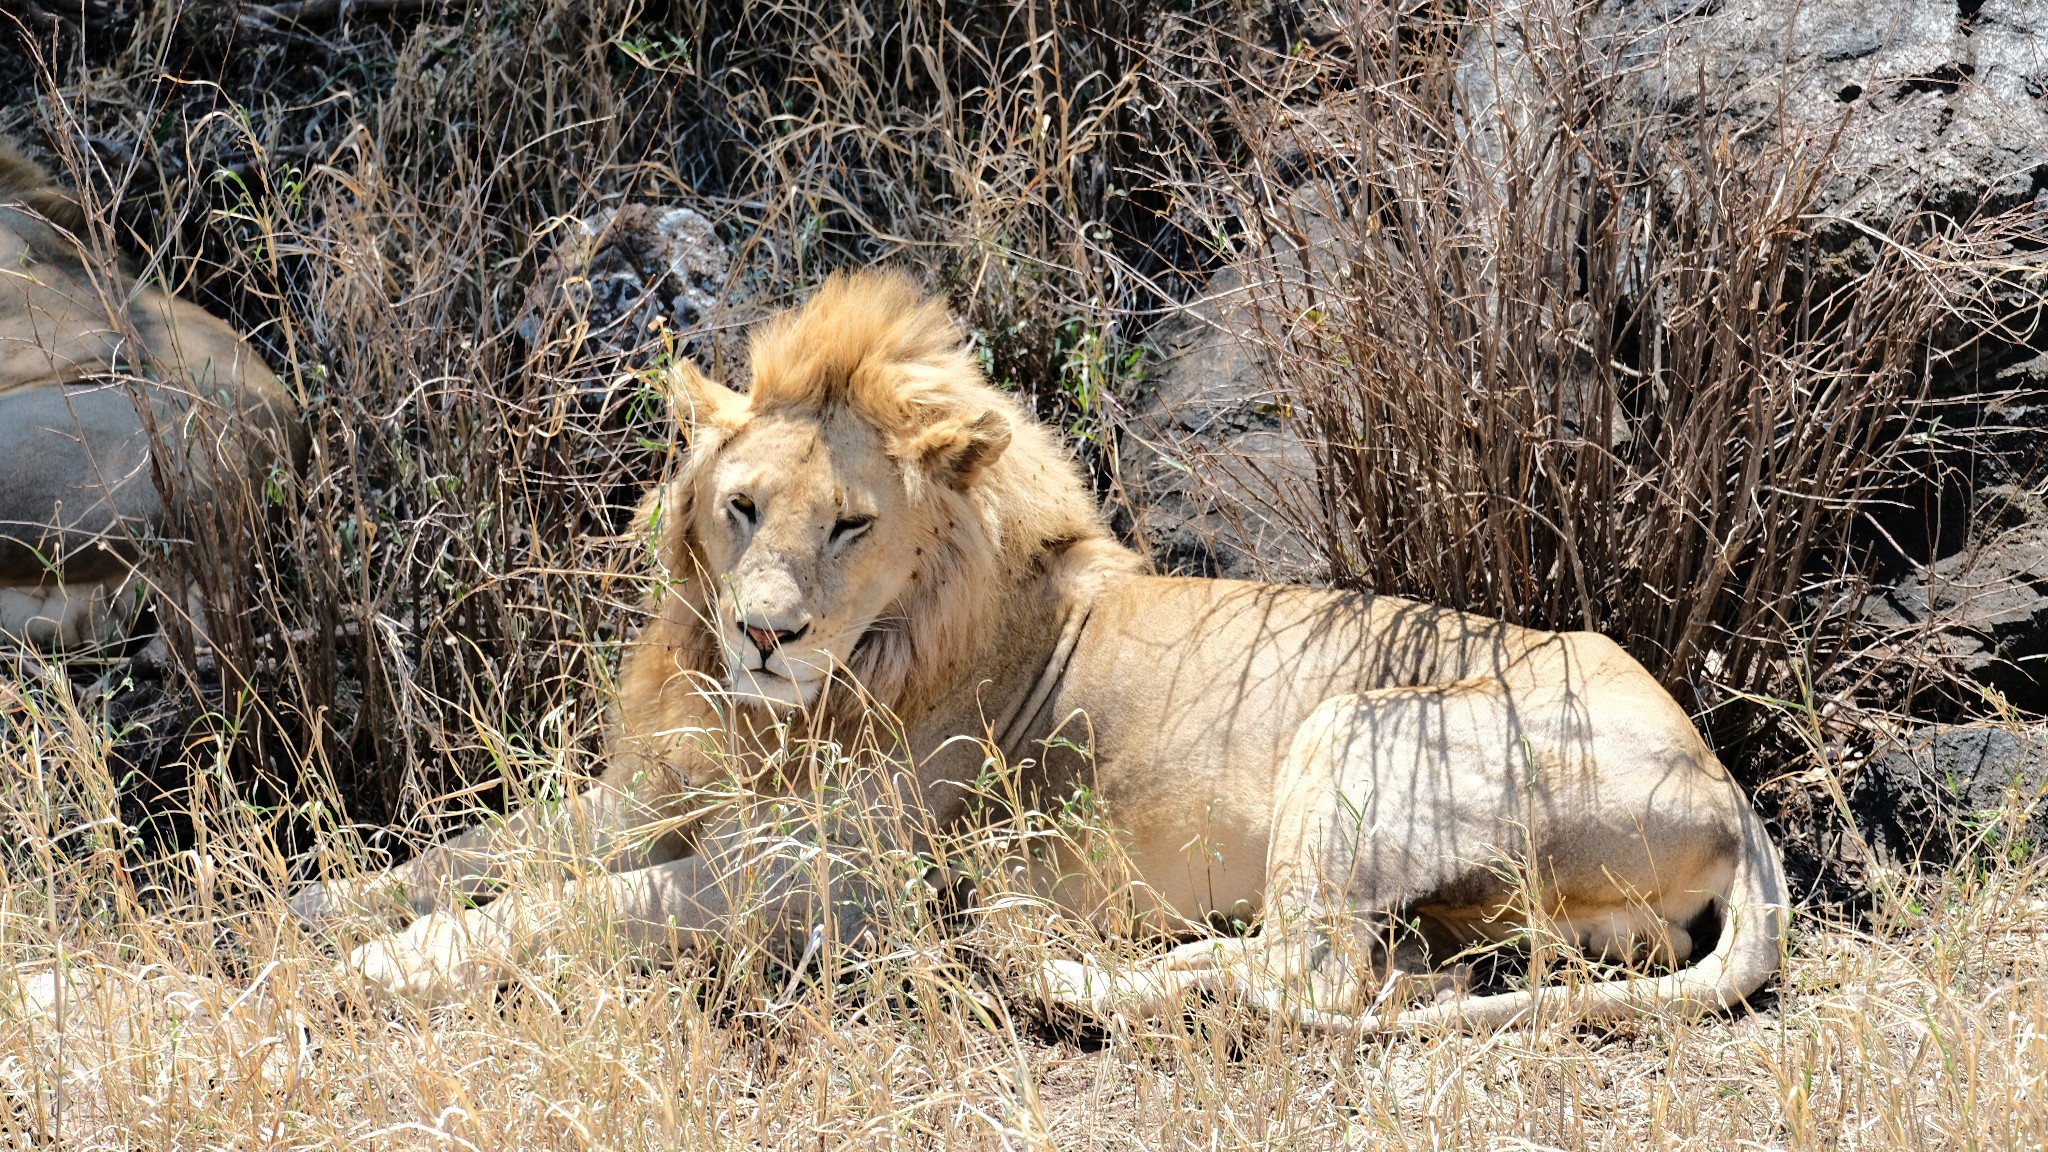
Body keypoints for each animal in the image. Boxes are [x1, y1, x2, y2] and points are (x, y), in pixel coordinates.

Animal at [311, 270, 1785, 1033]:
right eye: (739, 508)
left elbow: (575, 902)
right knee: (1359, 966)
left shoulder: (831, 875)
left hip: (1359, 727)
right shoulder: (659, 794)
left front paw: (384, 966)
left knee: (1310, 975)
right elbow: (487, 847)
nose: (764, 633)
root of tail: (1728, 790)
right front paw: (311, 907)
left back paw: (1054, 965)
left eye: (850, 524)